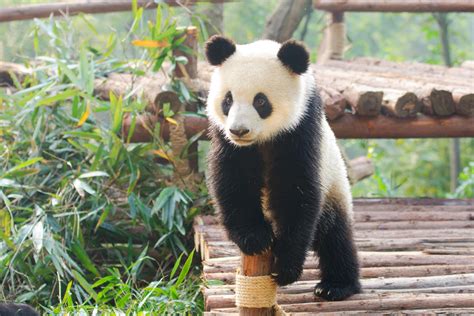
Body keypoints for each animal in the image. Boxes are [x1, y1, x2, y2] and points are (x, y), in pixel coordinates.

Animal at [206, 35, 362, 302]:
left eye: (260, 101)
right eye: (228, 100)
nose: (239, 130)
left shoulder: (301, 129)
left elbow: (295, 189)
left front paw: (286, 267)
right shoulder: (226, 140)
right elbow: (235, 180)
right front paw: (255, 238)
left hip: (334, 185)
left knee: (335, 235)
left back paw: (336, 285)